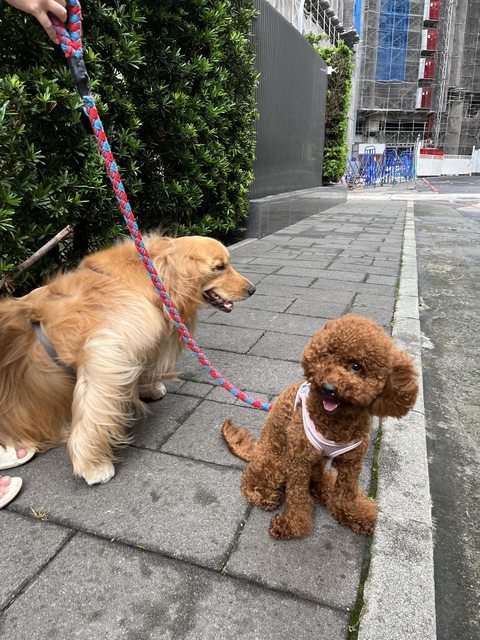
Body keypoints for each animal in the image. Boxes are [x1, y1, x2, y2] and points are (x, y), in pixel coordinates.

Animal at [0, 234, 255, 485]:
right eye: (219, 267)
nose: (252, 289)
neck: (147, 277)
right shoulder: (104, 354)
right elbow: (93, 415)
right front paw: (93, 466)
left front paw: (147, 388)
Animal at [221, 315, 418, 539]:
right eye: (324, 357)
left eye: (357, 366)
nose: (328, 388)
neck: (336, 423)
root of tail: (255, 451)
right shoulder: (299, 460)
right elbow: (297, 496)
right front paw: (292, 525)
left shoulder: (351, 463)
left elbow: (346, 496)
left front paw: (357, 515)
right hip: (277, 463)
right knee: (252, 480)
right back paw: (264, 494)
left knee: (319, 481)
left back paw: (326, 490)